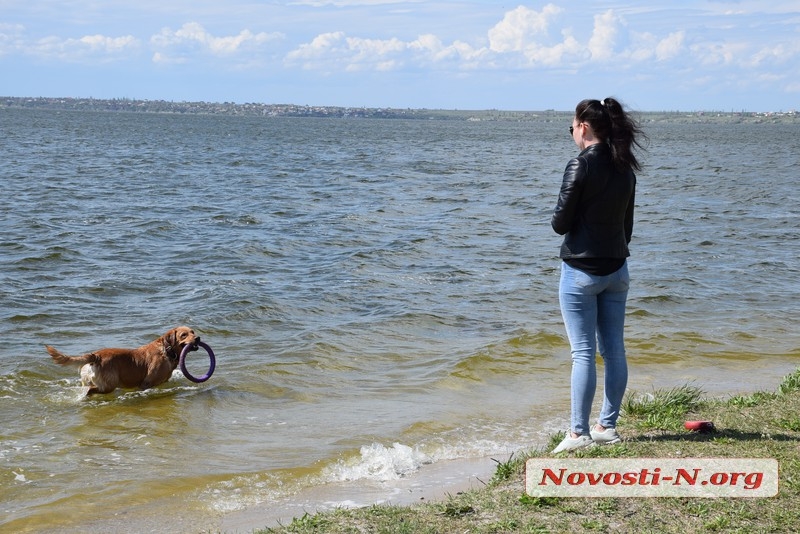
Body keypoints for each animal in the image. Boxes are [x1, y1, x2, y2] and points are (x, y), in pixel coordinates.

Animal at [47, 326, 200, 398]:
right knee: (91, 390)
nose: (198, 338)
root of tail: (96, 356)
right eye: (184, 335)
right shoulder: (146, 383)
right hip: (110, 384)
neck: (167, 350)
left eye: (193, 331)